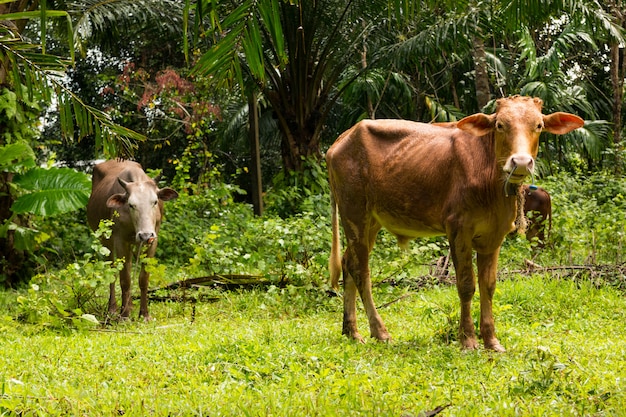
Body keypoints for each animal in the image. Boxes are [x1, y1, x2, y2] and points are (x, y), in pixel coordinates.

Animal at [85, 159, 178, 318]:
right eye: (131, 204)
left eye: (155, 202)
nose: (145, 235)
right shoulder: (120, 241)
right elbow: (125, 279)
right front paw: (125, 315)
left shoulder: (153, 240)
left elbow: (143, 278)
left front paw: (144, 314)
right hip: (106, 241)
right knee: (112, 271)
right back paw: (114, 308)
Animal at [326, 96, 580, 350]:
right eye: (500, 125)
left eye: (538, 125)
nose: (520, 162)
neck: (490, 177)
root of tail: (340, 140)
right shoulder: (458, 229)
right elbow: (466, 285)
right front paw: (468, 339)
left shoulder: (493, 236)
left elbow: (489, 286)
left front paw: (491, 340)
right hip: (354, 213)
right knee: (361, 270)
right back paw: (379, 332)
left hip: (371, 221)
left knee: (348, 263)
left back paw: (351, 331)